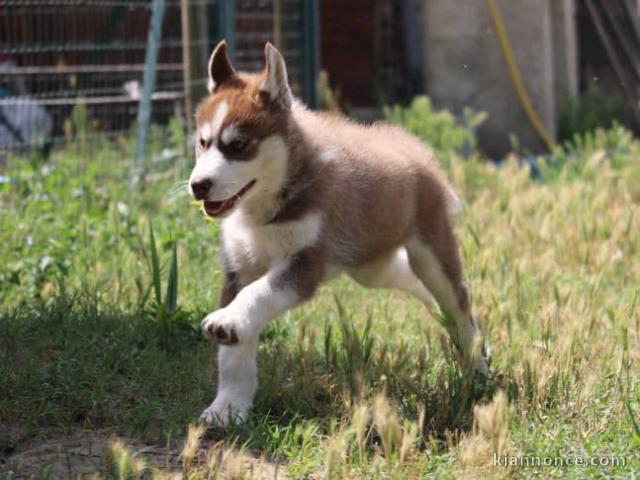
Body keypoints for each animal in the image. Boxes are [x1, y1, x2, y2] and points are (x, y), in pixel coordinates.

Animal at [189, 40, 490, 424]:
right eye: (203, 142)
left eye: (238, 145)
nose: (198, 185)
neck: (260, 212)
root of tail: (413, 147)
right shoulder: (237, 268)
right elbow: (233, 353)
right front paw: (228, 408)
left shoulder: (304, 263)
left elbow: (259, 293)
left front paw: (230, 320)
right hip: (370, 266)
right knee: (413, 282)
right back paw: (436, 313)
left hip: (430, 250)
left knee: (458, 300)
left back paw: (477, 364)